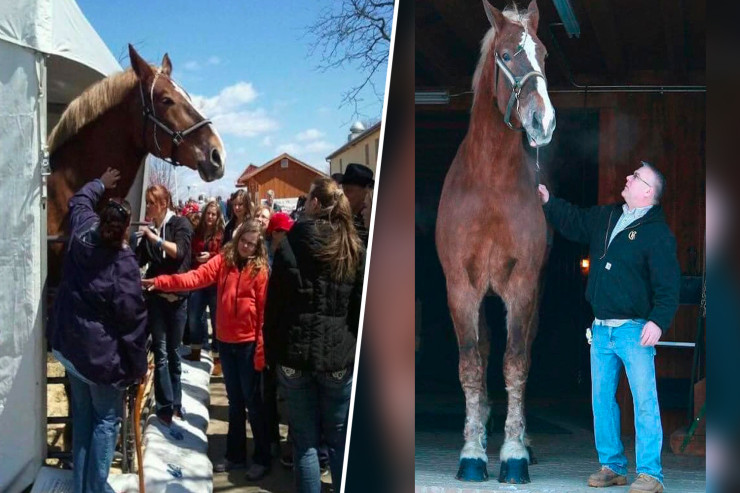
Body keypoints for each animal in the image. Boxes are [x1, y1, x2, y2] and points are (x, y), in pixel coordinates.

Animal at [434, 0, 556, 482]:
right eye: (506, 56)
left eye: (544, 55)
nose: (544, 121)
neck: (489, 183)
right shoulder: (461, 288)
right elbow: (471, 364)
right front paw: (472, 453)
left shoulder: (521, 288)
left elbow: (515, 364)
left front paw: (514, 453)